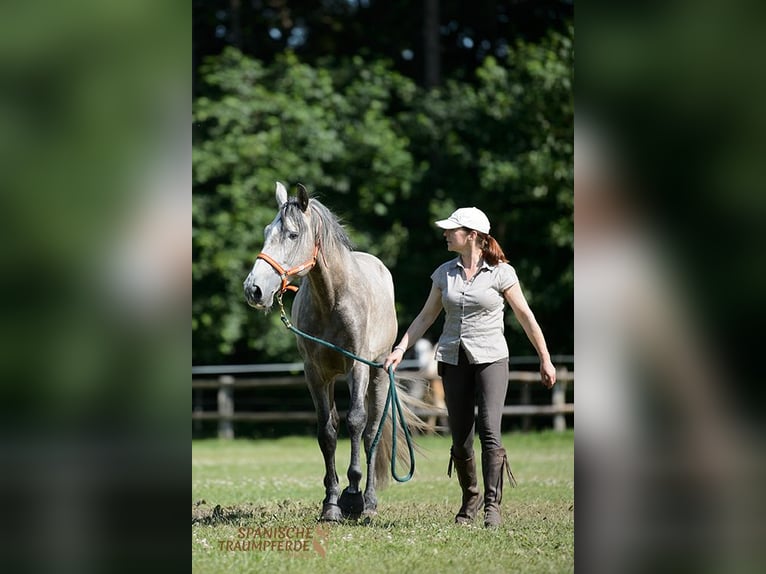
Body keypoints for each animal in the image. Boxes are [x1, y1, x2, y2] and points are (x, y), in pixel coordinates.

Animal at [243, 182, 424, 521]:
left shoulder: (358, 368)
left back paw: (369, 501)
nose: (254, 289)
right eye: (266, 232)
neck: (333, 299)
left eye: (292, 235)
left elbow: (356, 422)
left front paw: (353, 497)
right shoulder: (316, 374)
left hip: (378, 376)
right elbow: (327, 431)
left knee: (370, 431)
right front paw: (331, 503)